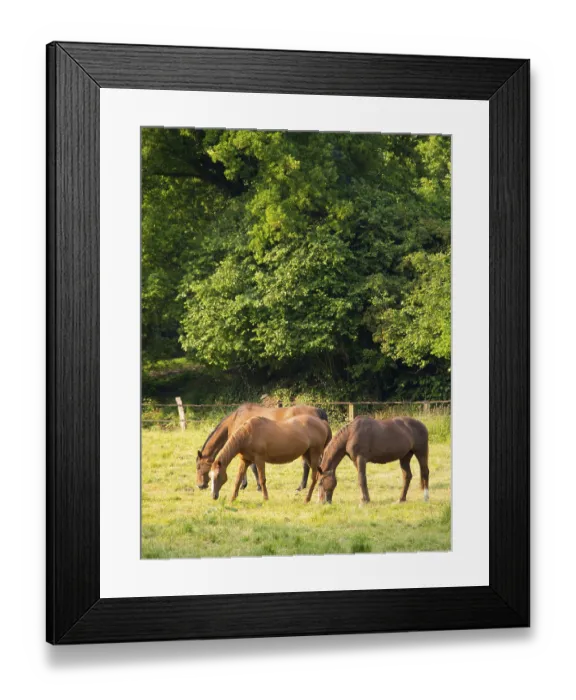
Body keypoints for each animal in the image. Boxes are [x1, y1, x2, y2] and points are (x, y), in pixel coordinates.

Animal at [196, 403, 329, 491]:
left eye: (198, 467)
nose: (200, 485)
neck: (235, 420)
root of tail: (318, 411)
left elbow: (252, 468)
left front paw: (253, 486)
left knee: (307, 465)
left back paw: (302, 486)